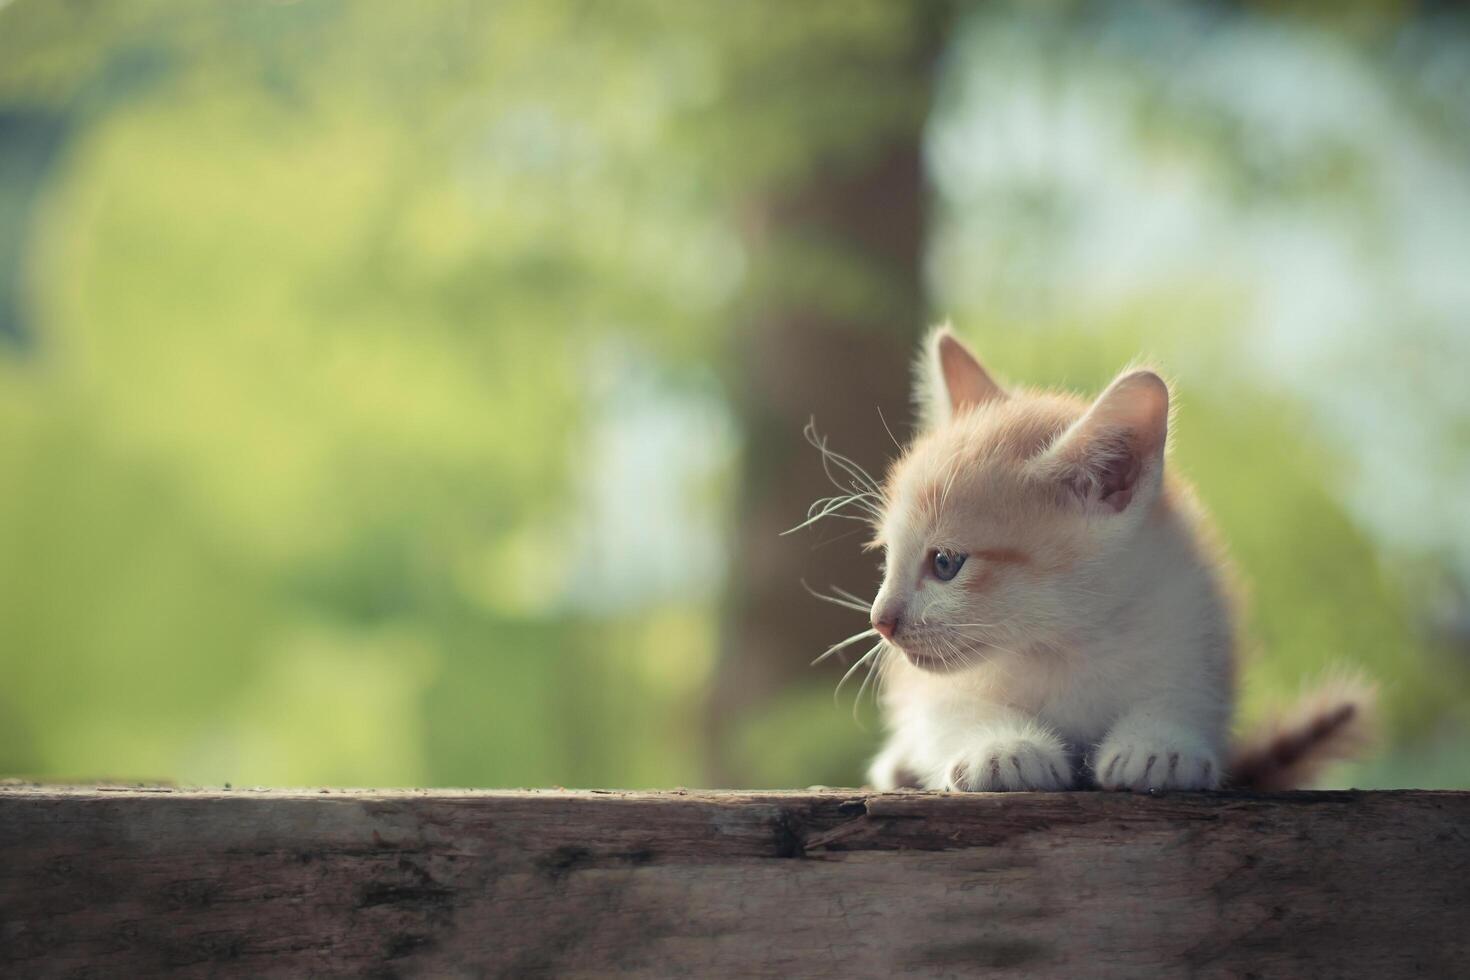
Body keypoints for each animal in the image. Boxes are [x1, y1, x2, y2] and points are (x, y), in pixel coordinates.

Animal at [829, 326, 1375, 793]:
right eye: (888, 555)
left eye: (945, 563)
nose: (880, 622)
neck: (1063, 642)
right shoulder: (930, 685)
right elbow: (945, 709)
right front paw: (1001, 747)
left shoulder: (1192, 609)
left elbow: (1188, 689)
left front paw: (1160, 744)